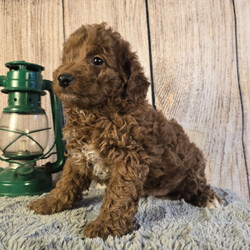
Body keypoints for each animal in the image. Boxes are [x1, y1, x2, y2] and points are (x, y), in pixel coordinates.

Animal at [28, 23, 222, 240]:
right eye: (67, 59)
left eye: (97, 60)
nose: (63, 78)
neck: (95, 113)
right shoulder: (78, 153)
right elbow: (66, 182)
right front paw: (48, 203)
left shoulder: (129, 158)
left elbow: (118, 195)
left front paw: (105, 226)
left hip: (194, 165)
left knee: (197, 185)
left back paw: (208, 198)